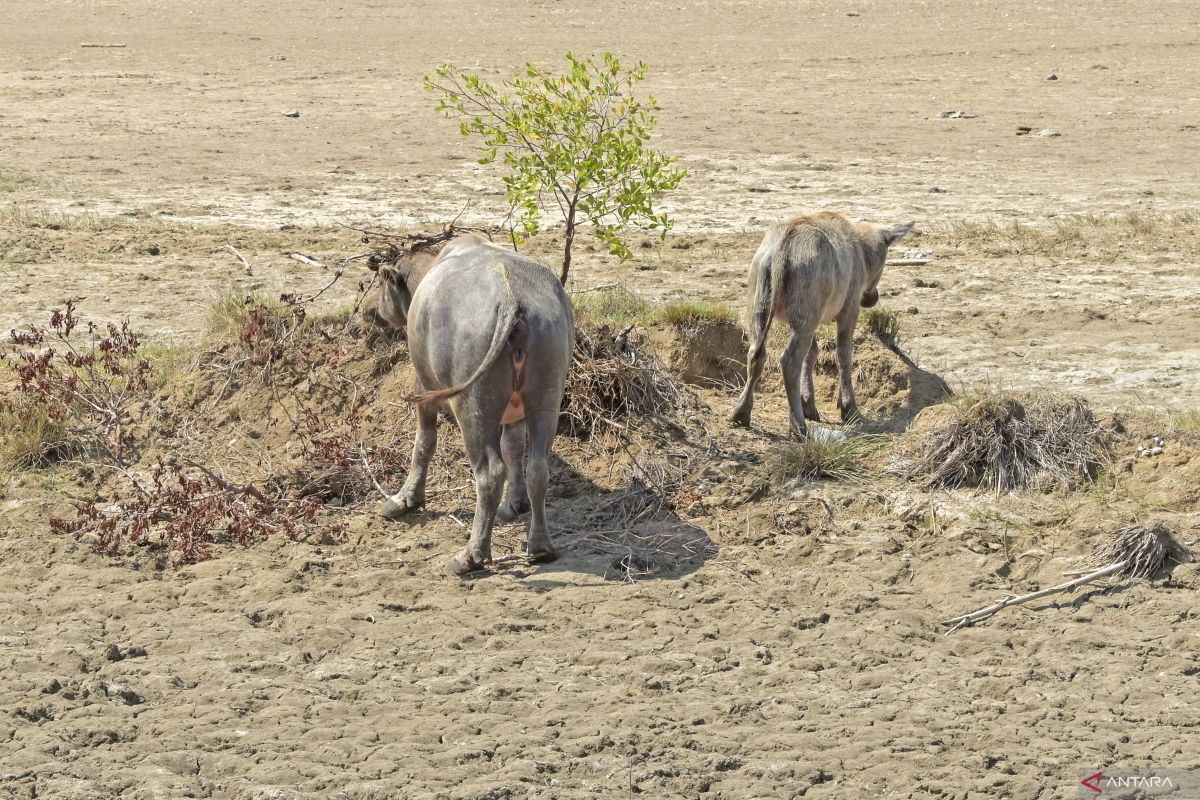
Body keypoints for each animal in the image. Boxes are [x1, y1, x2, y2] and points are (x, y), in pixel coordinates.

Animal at [367, 231, 573, 575]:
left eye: (382, 284)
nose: (368, 312)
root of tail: (513, 302)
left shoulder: (422, 385)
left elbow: (424, 442)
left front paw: (405, 498)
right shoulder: (516, 412)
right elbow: (514, 449)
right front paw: (514, 505)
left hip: (473, 408)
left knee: (489, 473)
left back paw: (472, 555)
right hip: (546, 399)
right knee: (537, 469)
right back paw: (540, 547)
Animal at [724, 211, 912, 438]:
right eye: (884, 261)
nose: (871, 298)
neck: (860, 251)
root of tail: (781, 250)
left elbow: (813, 354)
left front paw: (809, 403)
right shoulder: (849, 308)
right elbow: (844, 355)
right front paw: (849, 408)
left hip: (763, 308)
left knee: (756, 355)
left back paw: (741, 412)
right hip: (805, 317)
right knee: (789, 362)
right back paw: (798, 426)